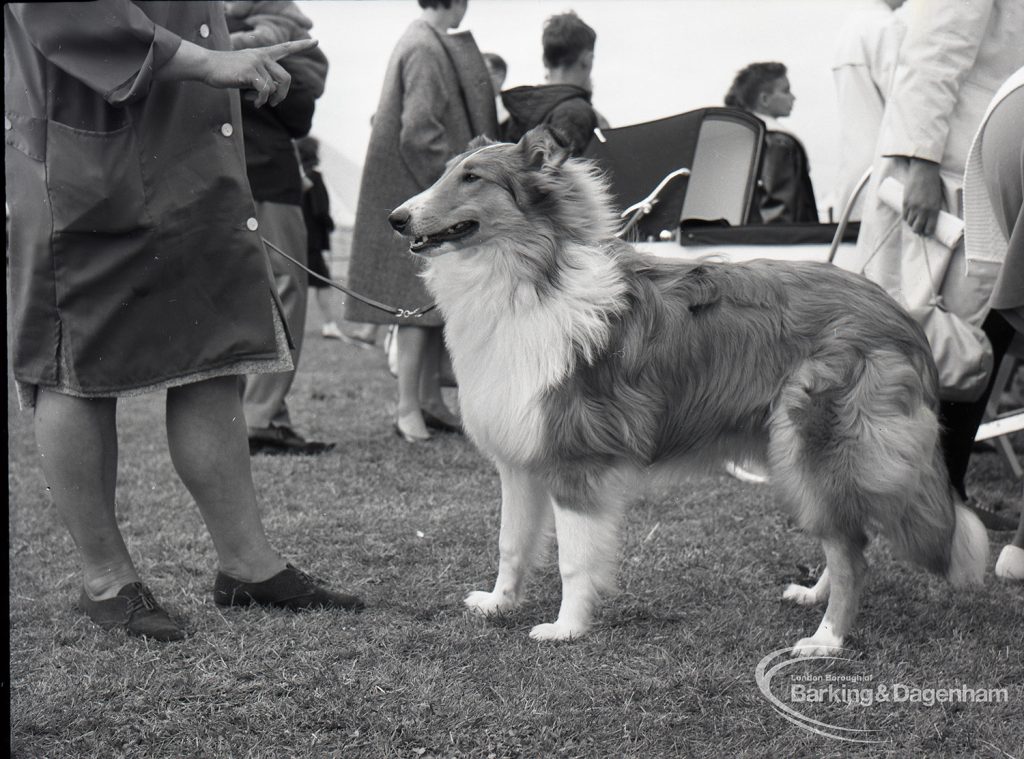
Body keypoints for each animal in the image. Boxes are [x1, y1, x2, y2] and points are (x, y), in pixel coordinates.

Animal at [387, 127, 987, 655]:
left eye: (472, 178)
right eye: (447, 172)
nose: (396, 218)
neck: (529, 280)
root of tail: (903, 318)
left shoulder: (575, 458)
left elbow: (573, 559)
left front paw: (566, 629)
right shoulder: (520, 457)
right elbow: (511, 544)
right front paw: (499, 603)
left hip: (815, 445)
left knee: (853, 553)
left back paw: (826, 639)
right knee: (852, 536)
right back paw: (815, 595)